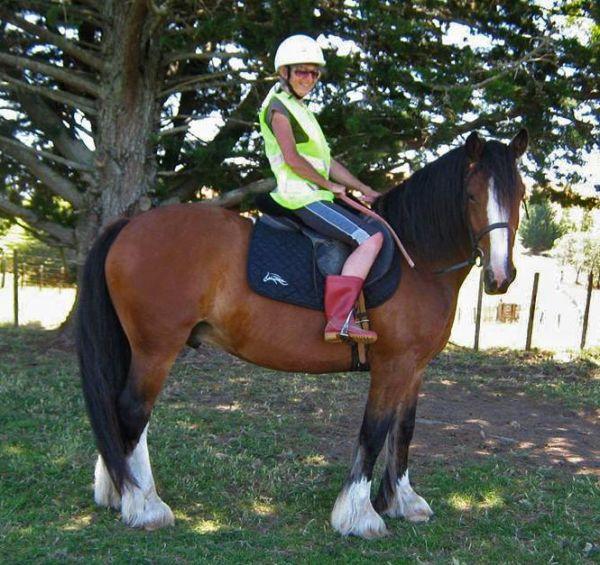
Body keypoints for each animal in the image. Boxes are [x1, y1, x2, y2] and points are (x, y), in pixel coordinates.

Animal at [76, 129, 528, 536]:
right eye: (471, 196)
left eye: (520, 194)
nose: (500, 277)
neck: (415, 258)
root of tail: (130, 224)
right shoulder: (392, 365)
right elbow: (374, 430)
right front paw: (359, 516)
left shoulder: (414, 368)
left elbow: (403, 431)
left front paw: (402, 501)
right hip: (156, 348)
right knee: (133, 410)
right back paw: (143, 505)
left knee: (126, 414)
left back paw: (121, 490)